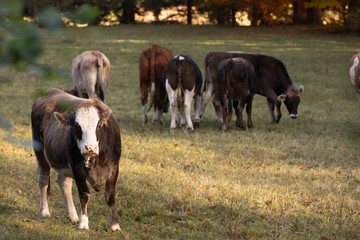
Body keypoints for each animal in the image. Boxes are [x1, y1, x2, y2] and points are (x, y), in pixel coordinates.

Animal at [31, 88, 121, 231]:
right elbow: (84, 195)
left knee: (64, 183)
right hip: (40, 153)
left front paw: (114, 225)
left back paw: (73, 215)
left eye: (99, 125)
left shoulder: (114, 168)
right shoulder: (78, 169)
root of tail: (52, 92)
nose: (90, 148)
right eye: (77, 126)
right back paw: (44, 211)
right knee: (43, 180)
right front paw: (83, 223)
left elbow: (110, 196)